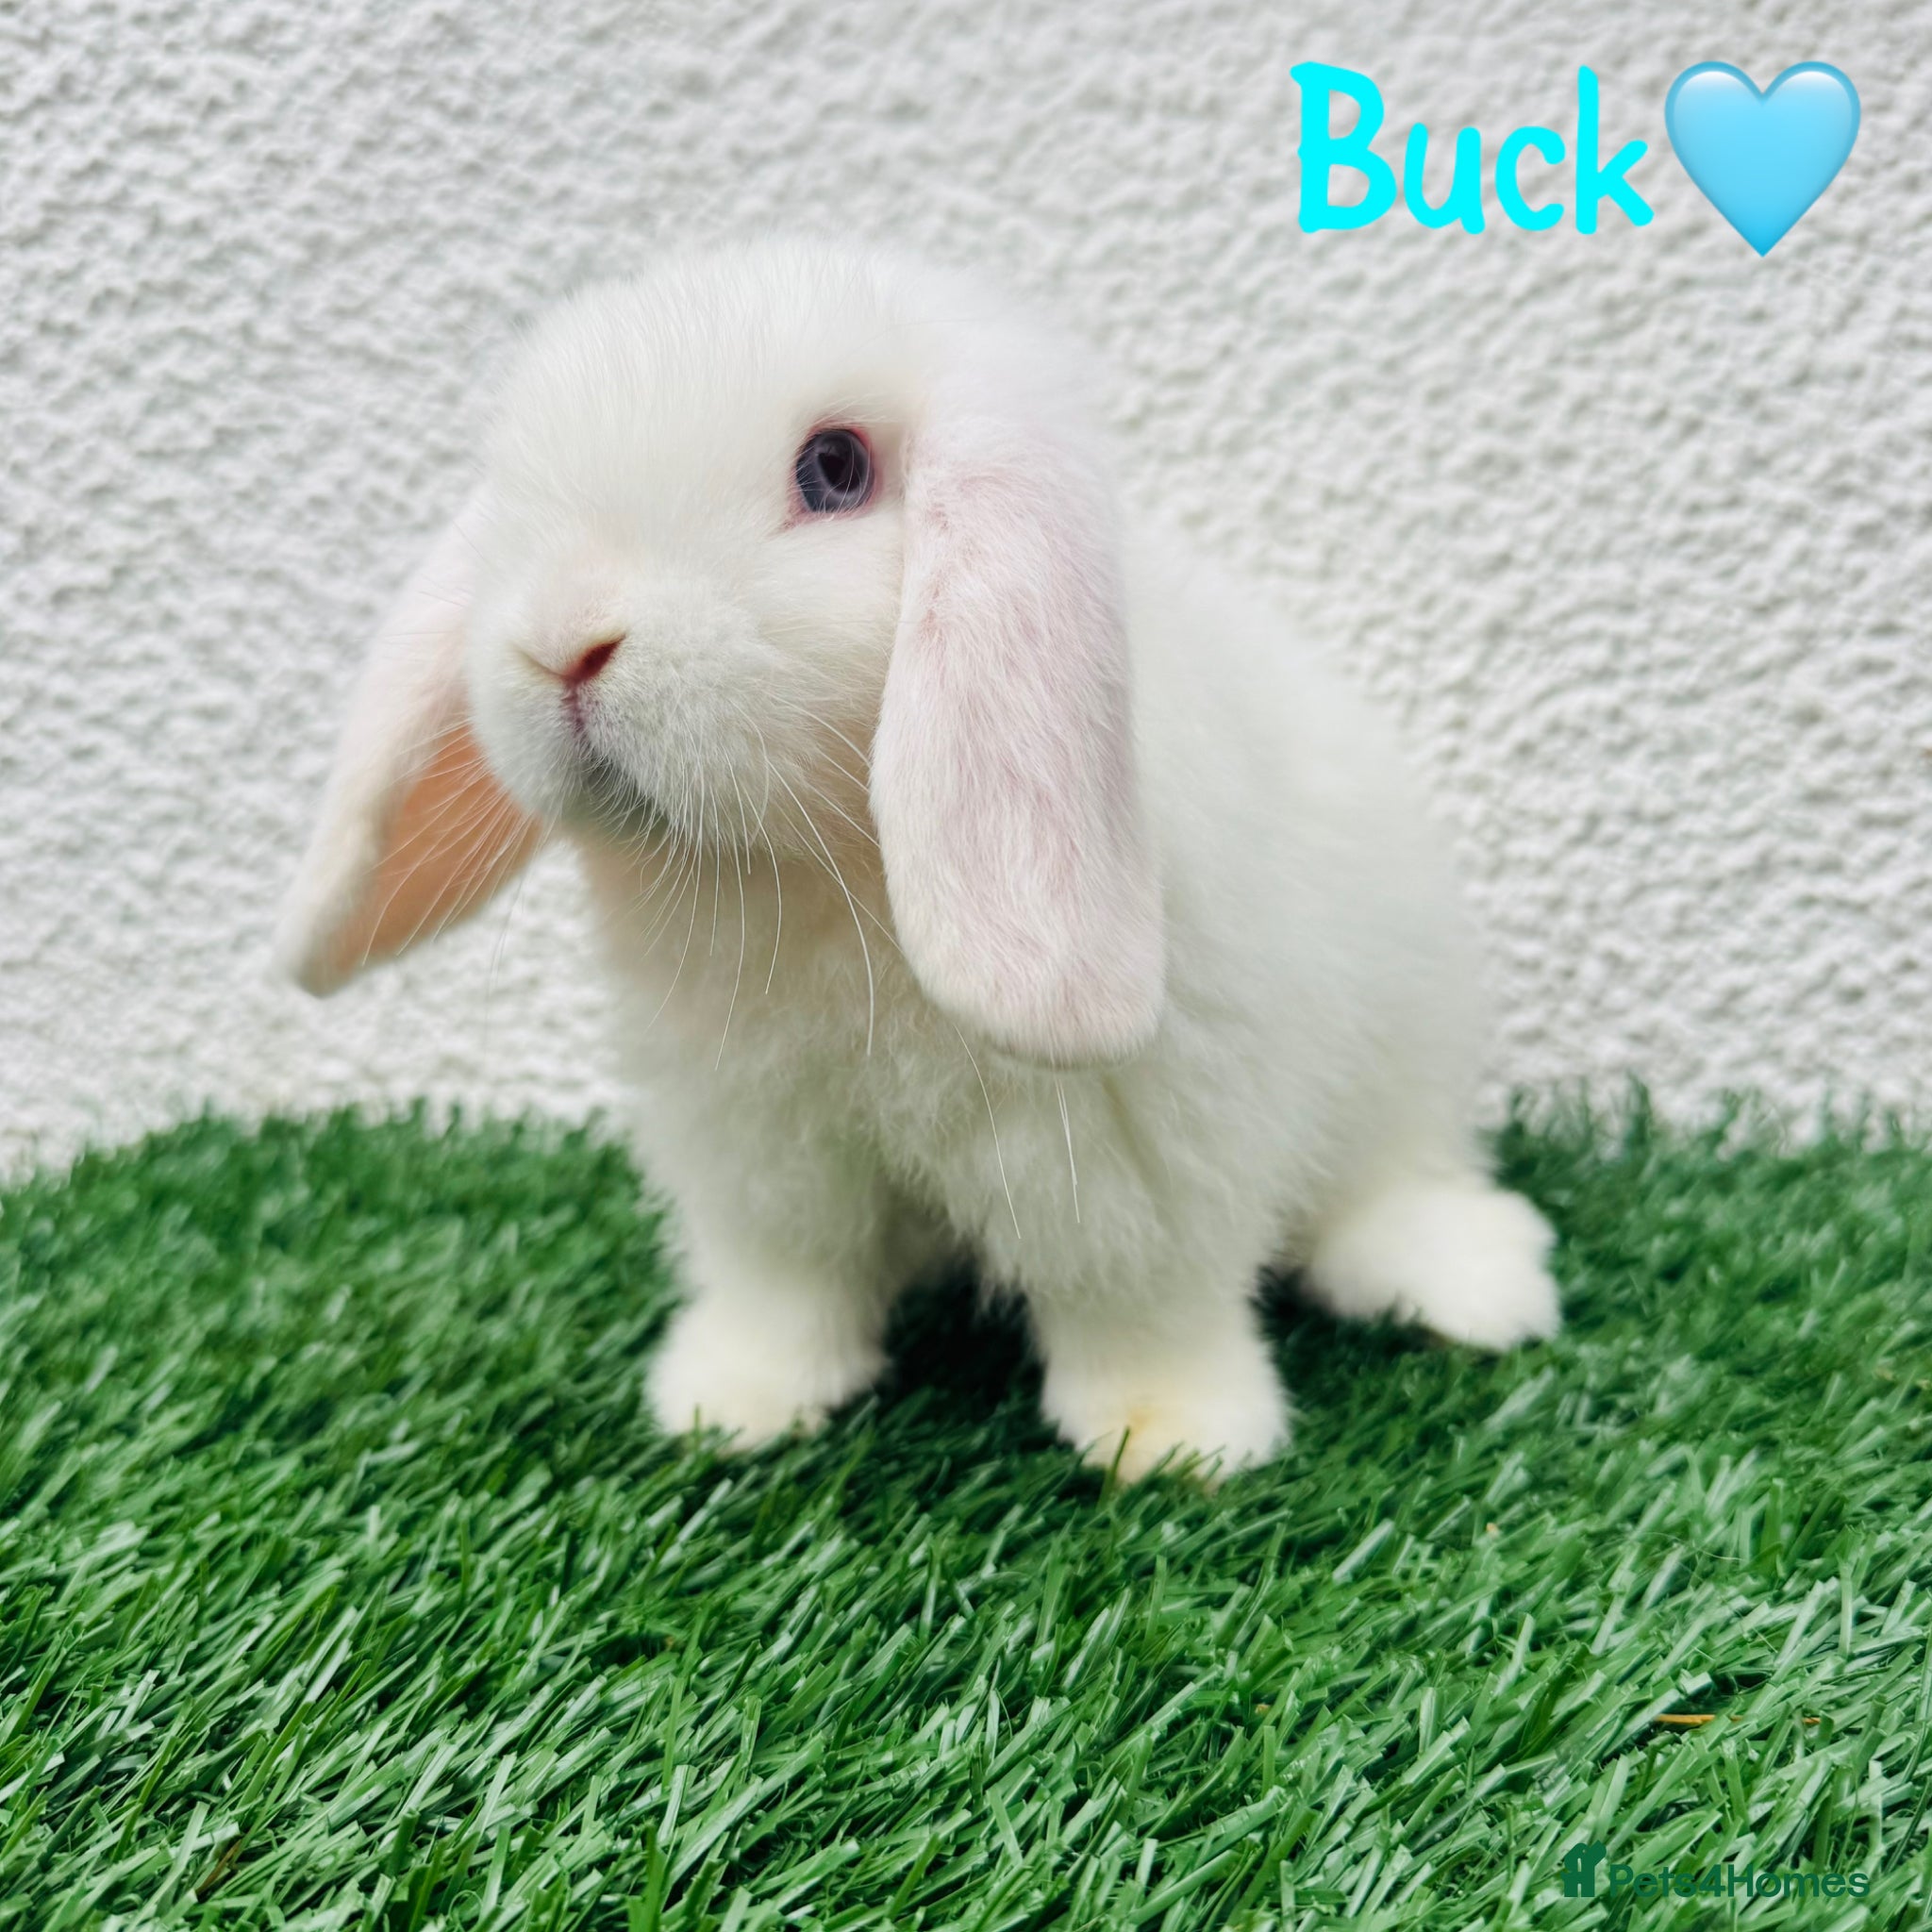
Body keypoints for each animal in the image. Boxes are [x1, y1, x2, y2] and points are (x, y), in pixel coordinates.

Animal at [277, 238, 1559, 1482]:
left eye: (834, 468)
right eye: (511, 500)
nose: (562, 642)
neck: (814, 871)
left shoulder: (1141, 1146)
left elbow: (1141, 1300)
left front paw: (1172, 1439)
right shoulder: (760, 1146)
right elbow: (783, 1286)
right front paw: (731, 1404)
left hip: (1406, 1061)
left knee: (1386, 1184)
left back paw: (1476, 1283)